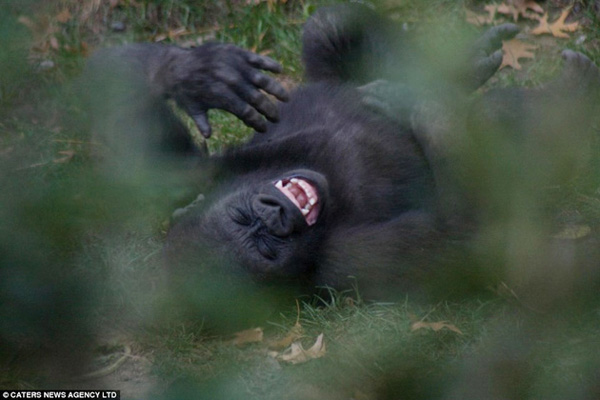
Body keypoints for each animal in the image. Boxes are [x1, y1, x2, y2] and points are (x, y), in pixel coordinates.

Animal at [88, 5, 600, 300]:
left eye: (244, 218)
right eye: (266, 247)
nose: (275, 216)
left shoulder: (182, 176)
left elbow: (113, 79)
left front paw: (201, 74)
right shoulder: (345, 264)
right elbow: (468, 233)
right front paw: (419, 103)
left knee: (327, 28)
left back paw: (465, 67)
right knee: (494, 124)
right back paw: (573, 99)